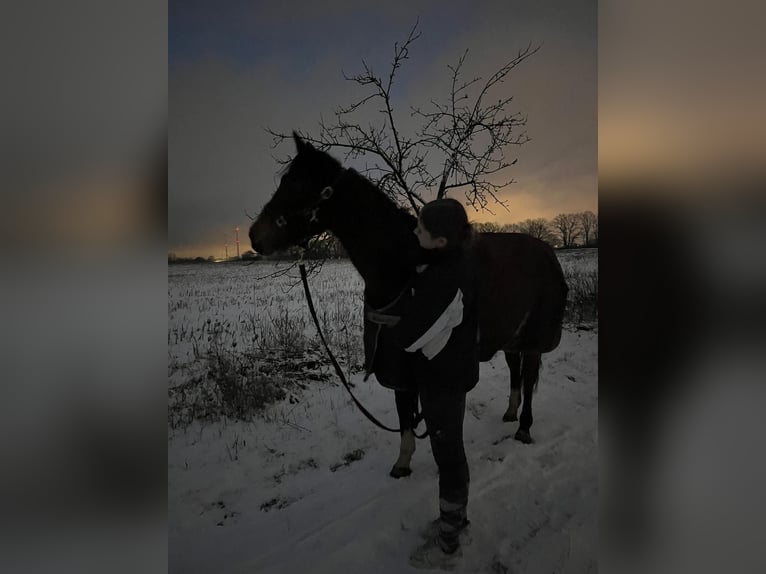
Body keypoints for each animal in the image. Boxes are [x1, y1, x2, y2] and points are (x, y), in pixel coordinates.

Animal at [249, 136, 568, 476]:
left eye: (297, 185)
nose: (255, 236)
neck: (404, 269)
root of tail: (547, 251)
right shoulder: (396, 363)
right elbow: (404, 416)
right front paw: (402, 463)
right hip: (511, 335)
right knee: (514, 369)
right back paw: (510, 412)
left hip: (534, 338)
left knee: (529, 376)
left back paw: (524, 427)